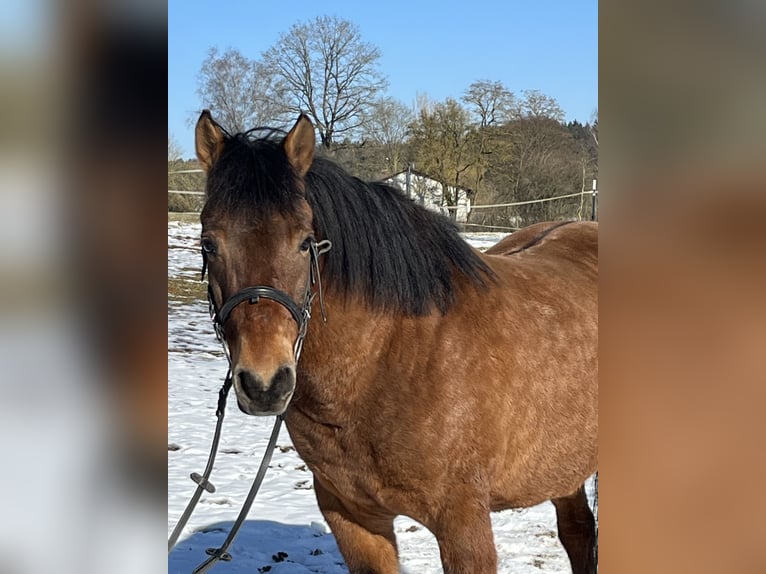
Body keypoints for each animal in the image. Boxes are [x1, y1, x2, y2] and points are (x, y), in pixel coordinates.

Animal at [194, 110, 600, 572]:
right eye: (209, 244)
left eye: (304, 242)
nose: (265, 384)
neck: (387, 359)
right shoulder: (353, 517)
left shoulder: (464, 523)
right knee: (578, 531)